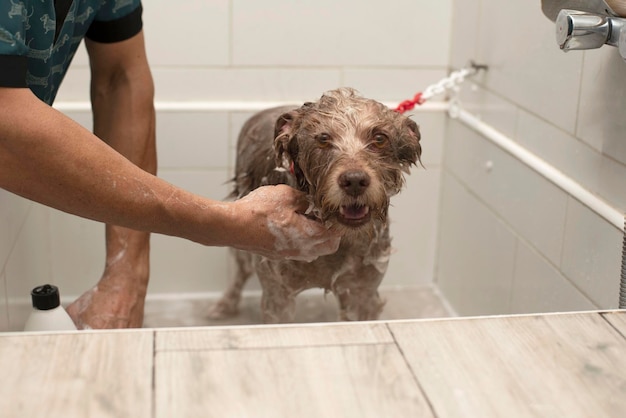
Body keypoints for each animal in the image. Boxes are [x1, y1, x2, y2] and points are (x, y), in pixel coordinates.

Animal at [208, 88, 420, 324]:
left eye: (380, 139)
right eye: (323, 139)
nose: (355, 180)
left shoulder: (362, 293)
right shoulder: (277, 294)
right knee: (240, 271)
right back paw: (225, 304)